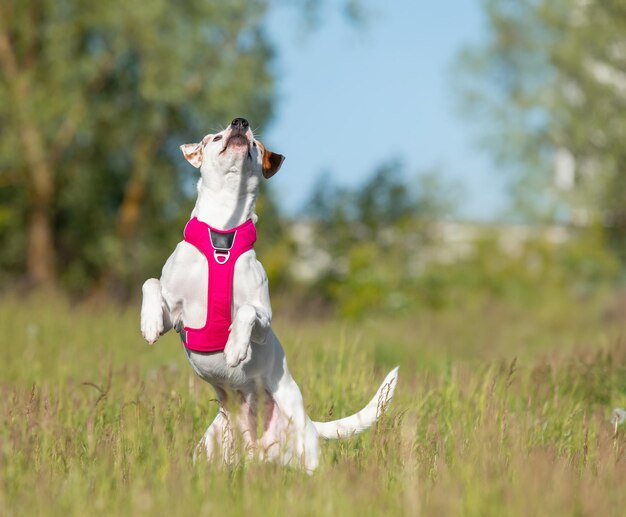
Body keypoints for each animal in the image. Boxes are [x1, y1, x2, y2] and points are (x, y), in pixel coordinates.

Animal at [140, 118, 398, 472]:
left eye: (254, 144)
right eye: (216, 137)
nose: (240, 122)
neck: (223, 235)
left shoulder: (262, 319)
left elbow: (246, 313)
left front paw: (235, 347)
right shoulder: (176, 316)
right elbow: (150, 283)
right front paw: (149, 323)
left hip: (304, 453)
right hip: (207, 449)